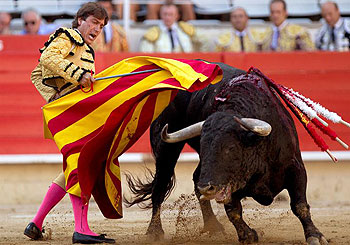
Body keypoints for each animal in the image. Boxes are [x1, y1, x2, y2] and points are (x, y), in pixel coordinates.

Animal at [125, 62, 328, 244]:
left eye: (230, 148)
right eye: (203, 147)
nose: (207, 188)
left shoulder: (296, 168)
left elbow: (299, 205)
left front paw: (315, 236)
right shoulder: (226, 183)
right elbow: (233, 211)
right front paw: (248, 235)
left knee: (194, 178)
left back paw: (212, 225)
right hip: (166, 148)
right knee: (161, 186)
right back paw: (155, 231)